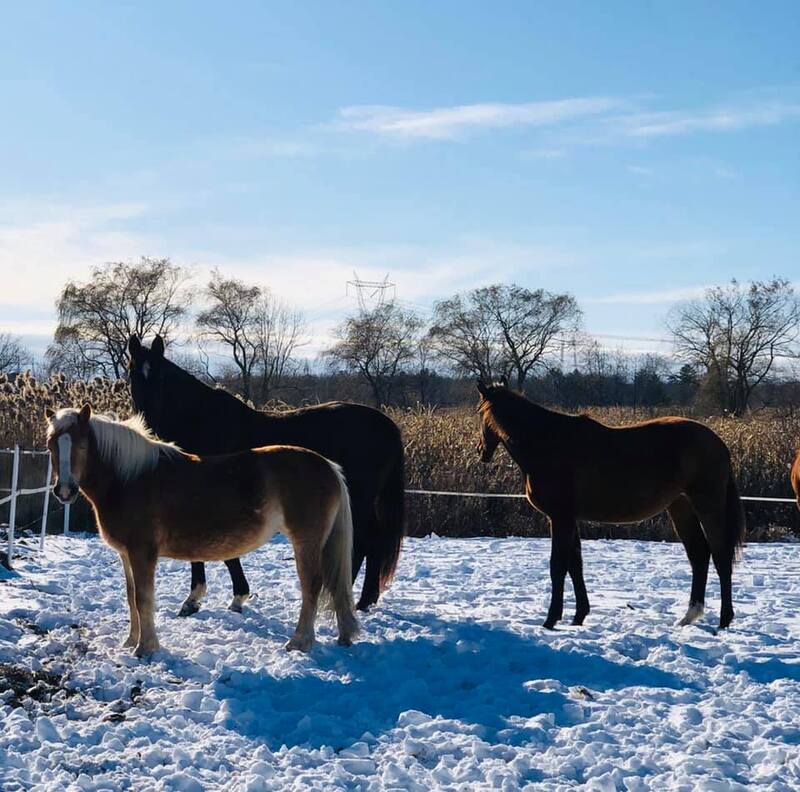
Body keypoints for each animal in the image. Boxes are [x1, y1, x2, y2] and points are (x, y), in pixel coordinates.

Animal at [43, 406, 356, 660]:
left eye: (83, 445)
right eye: (51, 446)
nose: (64, 491)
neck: (129, 479)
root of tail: (328, 466)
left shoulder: (142, 552)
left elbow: (144, 597)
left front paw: (146, 648)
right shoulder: (126, 554)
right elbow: (131, 596)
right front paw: (130, 641)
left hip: (306, 542)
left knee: (311, 586)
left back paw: (299, 642)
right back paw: (342, 636)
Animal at [129, 332, 406, 612]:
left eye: (160, 376)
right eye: (132, 373)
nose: (147, 423)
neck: (202, 421)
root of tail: (388, 425)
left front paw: (227, 597)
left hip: (359, 497)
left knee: (365, 540)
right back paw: (364, 599)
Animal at [476, 382, 744, 632]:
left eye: (479, 412)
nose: (481, 452)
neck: (547, 442)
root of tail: (719, 444)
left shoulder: (560, 518)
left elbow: (558, 567)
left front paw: (551, 620)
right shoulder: (570, 519)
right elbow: (575, 565)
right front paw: (578, 616)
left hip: (708, 505)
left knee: (720, 556)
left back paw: (724, 620)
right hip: (681, 508)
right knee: (699, 554)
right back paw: (689, 617)